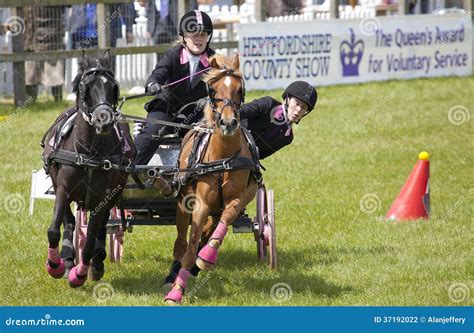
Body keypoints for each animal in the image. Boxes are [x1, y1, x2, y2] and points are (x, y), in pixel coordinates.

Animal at [42, 50, 134, 286]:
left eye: (114, 87)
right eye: (86, 86)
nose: (104, 120)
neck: (89, 152)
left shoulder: (102, 197)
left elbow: (92, 238)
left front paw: (81, 273)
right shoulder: (63, 188)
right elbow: (54, 229)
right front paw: (55, 266)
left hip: (114, 193)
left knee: (102, 228)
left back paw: (97, 263)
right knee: (70, 222)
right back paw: (66, 260)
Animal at [164, 53, 260, 304]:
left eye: (239, 89)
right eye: (213, 89)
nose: (228, 123)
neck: (224, 157)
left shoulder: (236, 199)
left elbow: (226, 219)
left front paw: (207, 256)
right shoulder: (201, 203)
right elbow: (189, 249)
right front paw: (176, 292)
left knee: (209, 229)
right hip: (183, 203)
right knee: (181, 242)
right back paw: (174, 273)